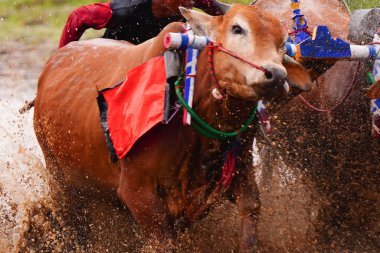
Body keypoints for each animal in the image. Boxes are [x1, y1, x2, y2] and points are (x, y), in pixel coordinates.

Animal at [33, 3, 312, 251]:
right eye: (237, 28)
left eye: (282, 42)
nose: (276, 75)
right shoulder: (139, 195)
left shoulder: (241, 166)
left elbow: (250, 210)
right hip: (61, 185)